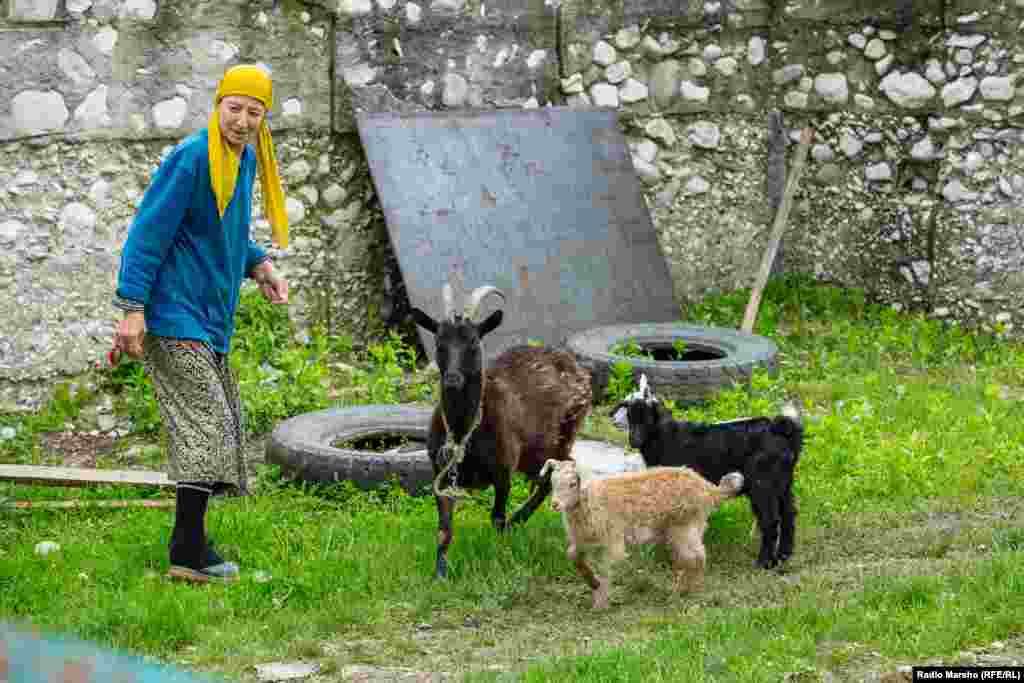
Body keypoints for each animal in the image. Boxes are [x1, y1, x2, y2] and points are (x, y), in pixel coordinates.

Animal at [409, 282, 593, 577]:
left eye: (474, 342)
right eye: (438, 342)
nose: (453, 379)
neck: (463, 432)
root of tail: (575, 366)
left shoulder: (503, 470)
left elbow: (495, 517)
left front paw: (501, 556)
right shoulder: (441, 474)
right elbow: (444, 530)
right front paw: (440, 573)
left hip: (565, 432)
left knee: (562, 469)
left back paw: (518, 521)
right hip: (535, 453)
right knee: (547, 476)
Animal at [610, 376, 802, 569]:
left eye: (647, 417)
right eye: (629, 414)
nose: (634, 440)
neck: (667, 436)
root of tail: (782, 431)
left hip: (763, 483)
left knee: (770, 521)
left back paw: (764, 562)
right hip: (783, 483)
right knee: (789, 515)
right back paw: (784, 556)